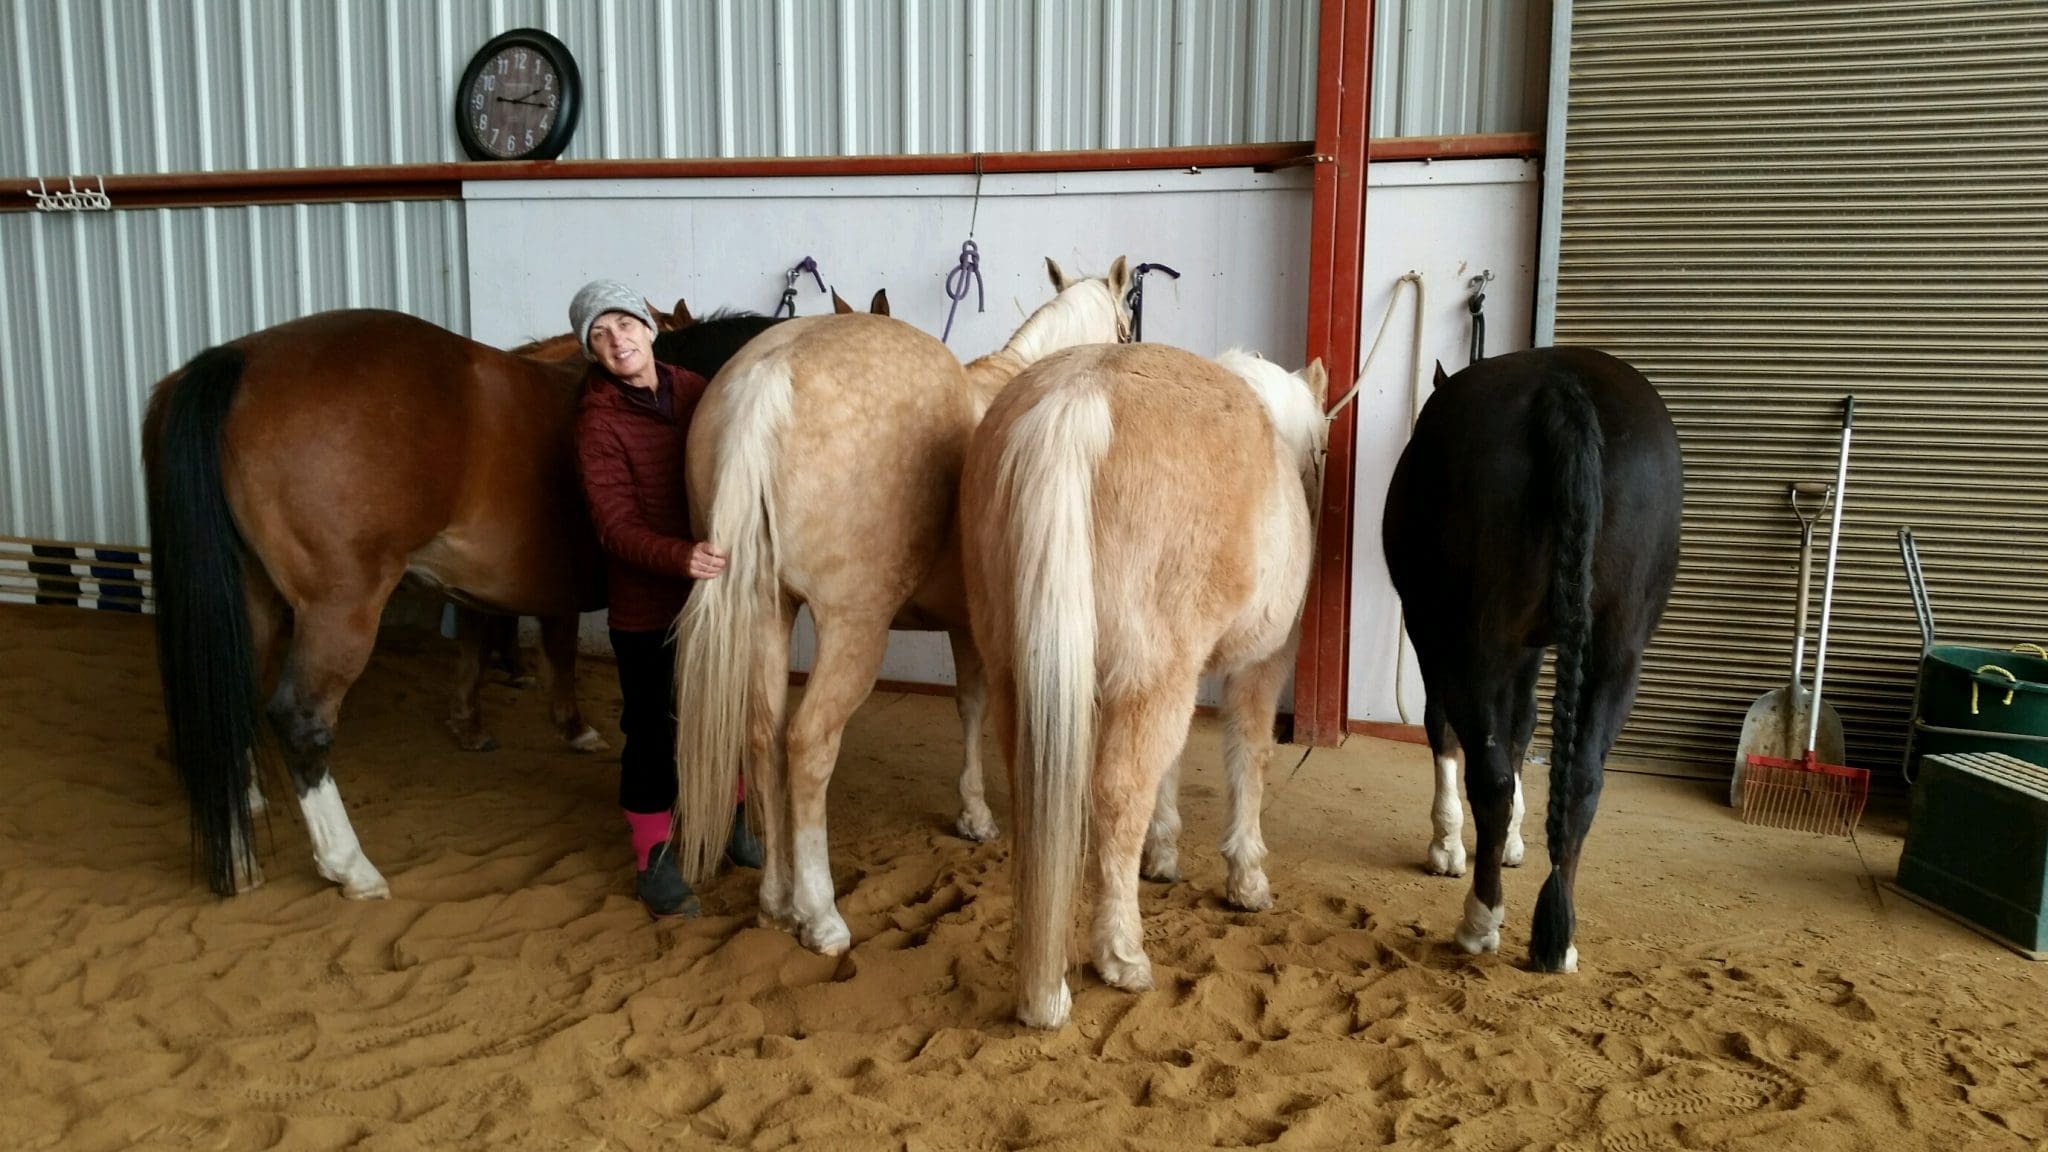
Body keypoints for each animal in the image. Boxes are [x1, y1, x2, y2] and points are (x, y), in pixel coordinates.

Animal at [144, 305, 781, 899]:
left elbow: (531, 648)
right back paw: (350, 867)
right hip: (337, 609)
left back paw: (241, 838)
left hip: (249, 600)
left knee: (230, 688)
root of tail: (235, 360)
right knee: (301, 720)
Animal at [670, 257, 1134, 957]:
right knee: (808, 743)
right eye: (1129, 325)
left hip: (766, 610)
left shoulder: (964, 625)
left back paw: (775, 899)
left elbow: (968, 706)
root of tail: (768, 376)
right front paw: (981, 815)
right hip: (853, 628)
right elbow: (981, 709)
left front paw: (972, 813)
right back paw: (819, 914)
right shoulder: (987, 629)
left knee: (762, 733)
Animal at [961, 344, 1328, 1030]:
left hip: (1020, 673)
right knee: (1118, 793)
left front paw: (1163, 856)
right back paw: (1120, 956)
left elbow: (1174, 764)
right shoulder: (1259, 664)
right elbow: (1249, 757)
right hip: (1149, 674)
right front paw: (1247, 879)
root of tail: (1079, 395)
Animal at [1381, 347, 1682, 974]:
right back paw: (1558, 938)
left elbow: (1447, 727)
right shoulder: (1532, 645)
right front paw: (1513, 842)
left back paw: (1479, 921)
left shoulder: (1431, 632)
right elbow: (1525, 726)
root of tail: (1564, 391)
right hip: (1618, 646)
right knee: (1584, 775)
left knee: (1490, 773)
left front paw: (1447, 845)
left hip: (1478, 641)